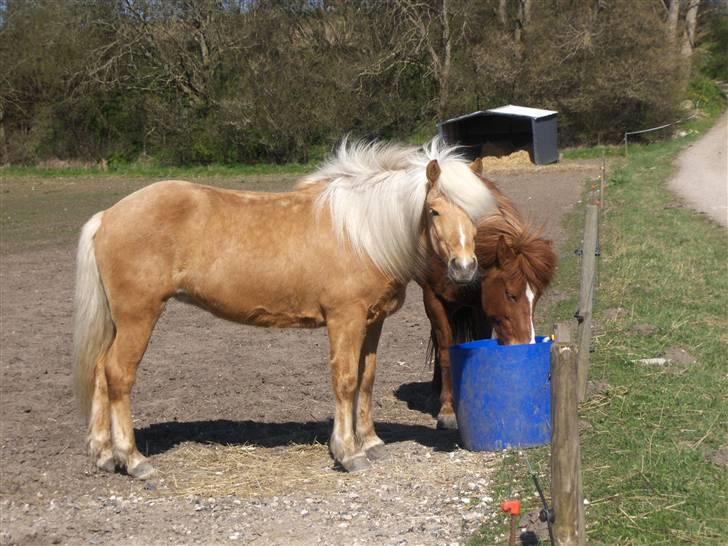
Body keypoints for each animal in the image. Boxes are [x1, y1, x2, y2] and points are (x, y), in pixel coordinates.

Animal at [72, 139, 494, 476]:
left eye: (473, 213)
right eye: (434, 210)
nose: (464, 268)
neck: (363, 233)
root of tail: (108, 216)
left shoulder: (372, 322)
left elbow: (367, 378)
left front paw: (371, 442)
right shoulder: (345, 319)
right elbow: (345, 380)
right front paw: (348, 453)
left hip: (118, 322)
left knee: (100, 373)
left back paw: (105, 455)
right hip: (138, 318)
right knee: (118, 374)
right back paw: (134, 460)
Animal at [420, 158, 556, 430]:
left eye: (536, 299)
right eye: (510, 294)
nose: (525, 344)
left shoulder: (479, 305)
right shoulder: (433, 300)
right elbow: (445, 348)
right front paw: (448, 409)